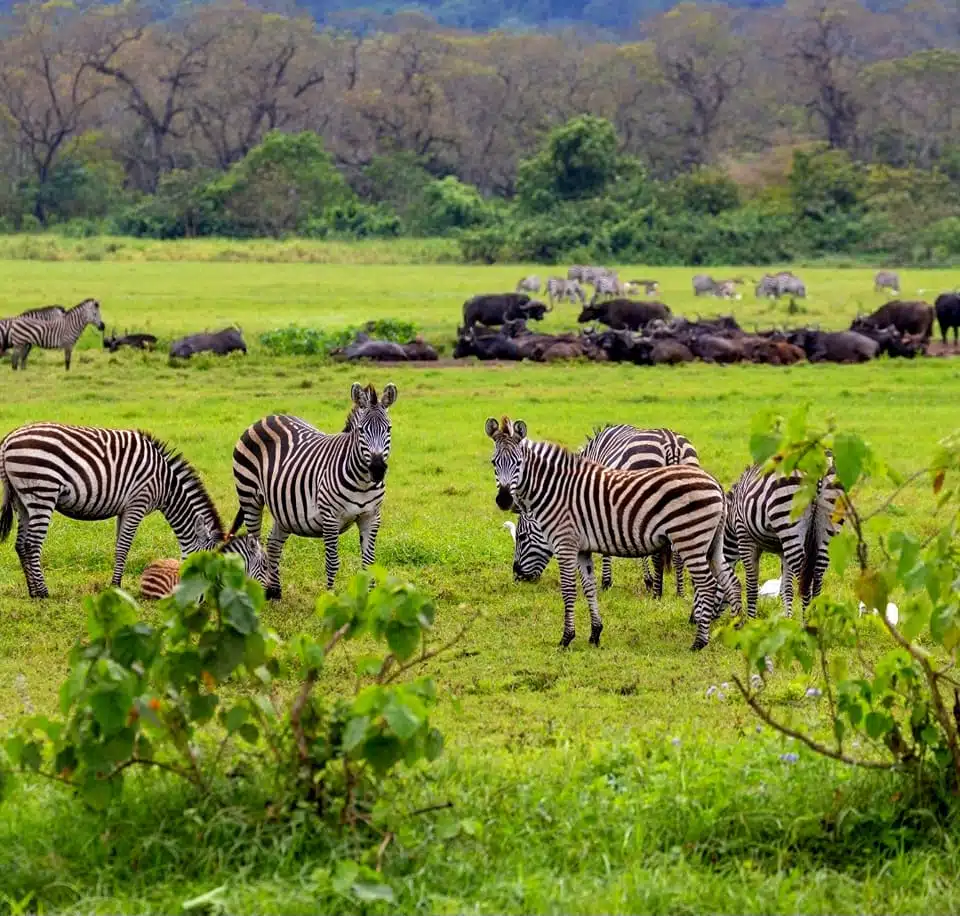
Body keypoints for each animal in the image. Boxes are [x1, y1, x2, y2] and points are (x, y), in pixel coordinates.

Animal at [0, 423, 226, 598]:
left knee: (21, 544)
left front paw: (115, 584)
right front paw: (116, 586)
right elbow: (124, 547)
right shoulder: (137, 503)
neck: (166, 484)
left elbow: (119, 546)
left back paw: (32, 592)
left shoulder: (123, 509)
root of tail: (8, 439)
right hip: (42, 491)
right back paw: (43, 592)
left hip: (22, 499)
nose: (208, 596)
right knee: (31, 544)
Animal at [230, 382, 398, 599]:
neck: (362, 482)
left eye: (389, 429)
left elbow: (369, 563)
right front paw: (330, 598)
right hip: (249, 496)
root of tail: (268, 417)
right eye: (361, 430)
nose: (377, 469)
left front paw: (369, 599)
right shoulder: (330, 518)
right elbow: (332, 563)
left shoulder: (371, 517)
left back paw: (274, 591)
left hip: (284, 508)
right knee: (255, 546)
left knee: (273, 543)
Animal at [507, 425, 700, 597]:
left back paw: (660, 592)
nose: (516, 576)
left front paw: (608, 582)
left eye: (521, 537)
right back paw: (680, 592)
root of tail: (671, 444)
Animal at [724, 462, 843, 621]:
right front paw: (788, 620)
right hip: (828, 528)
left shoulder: (745, 538)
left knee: (805, 583)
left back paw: (806, 624)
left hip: (789, 519)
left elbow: (751, 586)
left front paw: (751, 621)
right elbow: (786, 589)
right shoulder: (782, 550)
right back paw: (816, 619)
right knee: (817, 577)